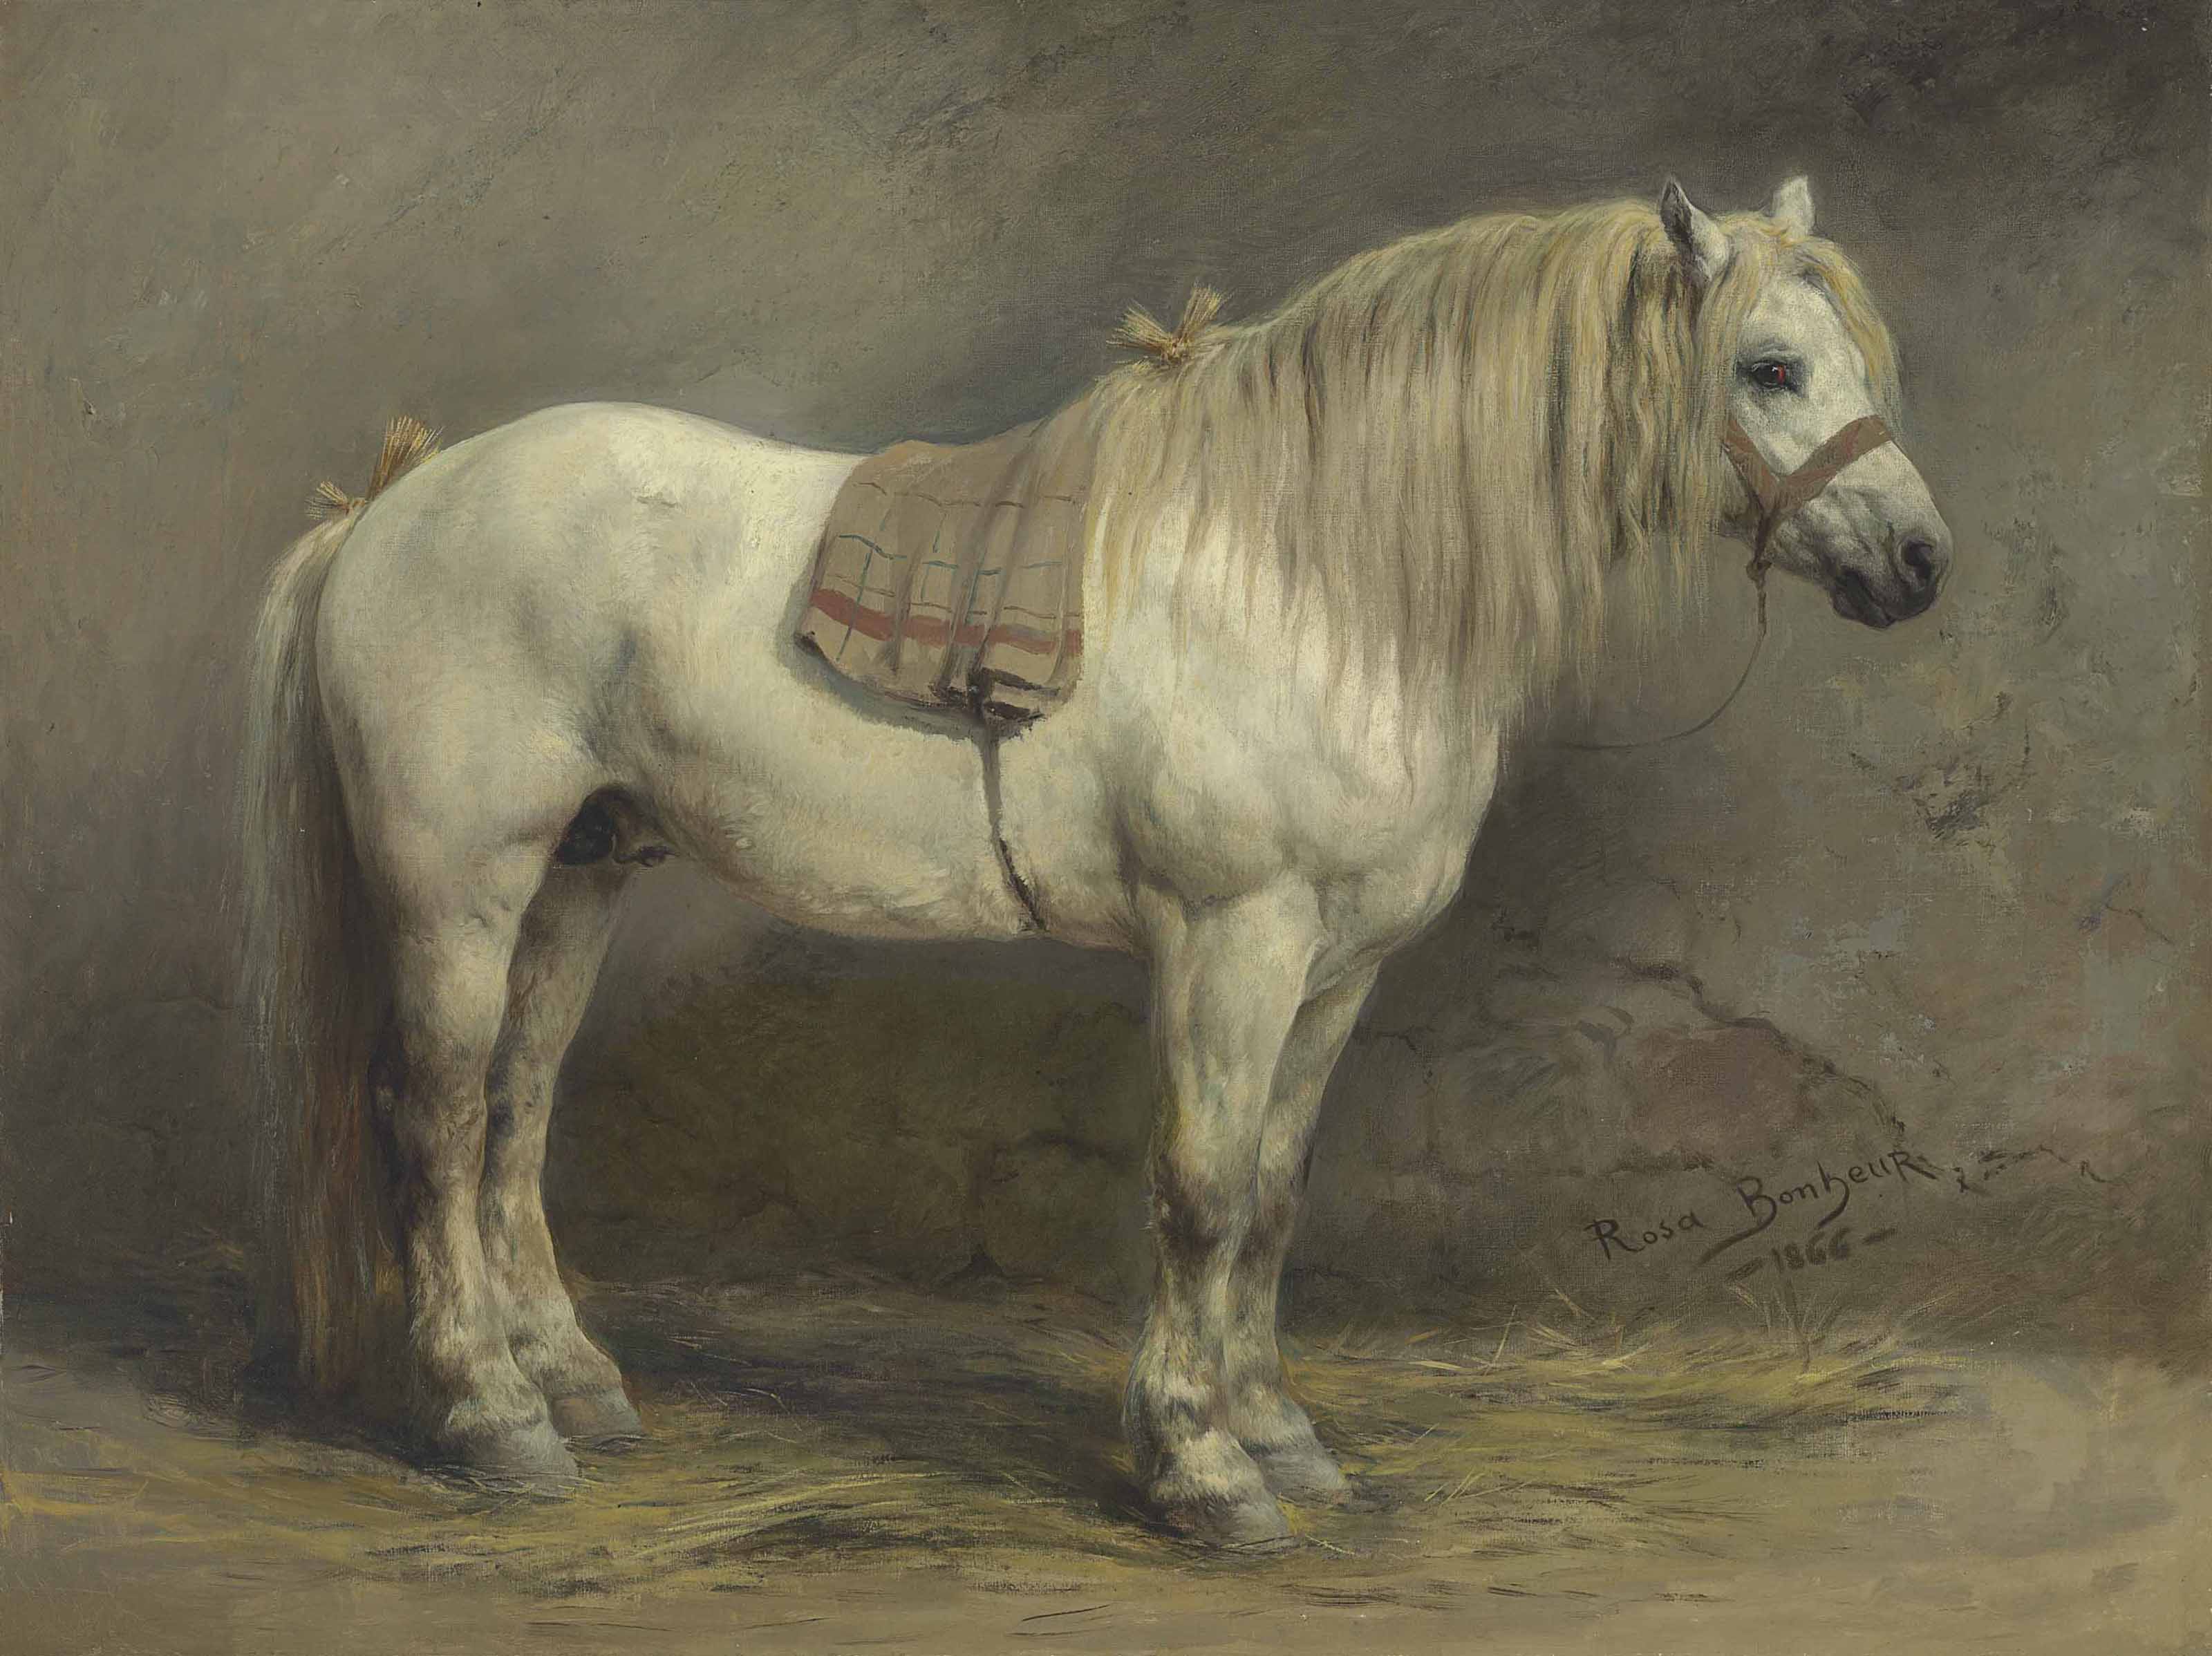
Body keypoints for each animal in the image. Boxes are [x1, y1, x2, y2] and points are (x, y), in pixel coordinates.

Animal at [239, 175, 1951, 1546]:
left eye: (1857, 362)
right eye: (1771, 366)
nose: (1921, 562)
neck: (1315, 574)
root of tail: (394, 500)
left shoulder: (1336, 971)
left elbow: (1272, 1198)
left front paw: (1277, 1431)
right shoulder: (1231, 941)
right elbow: (1197, 1192)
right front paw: (1201, 1468)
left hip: (577, 878)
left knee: (513, 1122)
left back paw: (573, 1385)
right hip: (457, 891)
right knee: (432, 1121)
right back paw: (487, 1415)